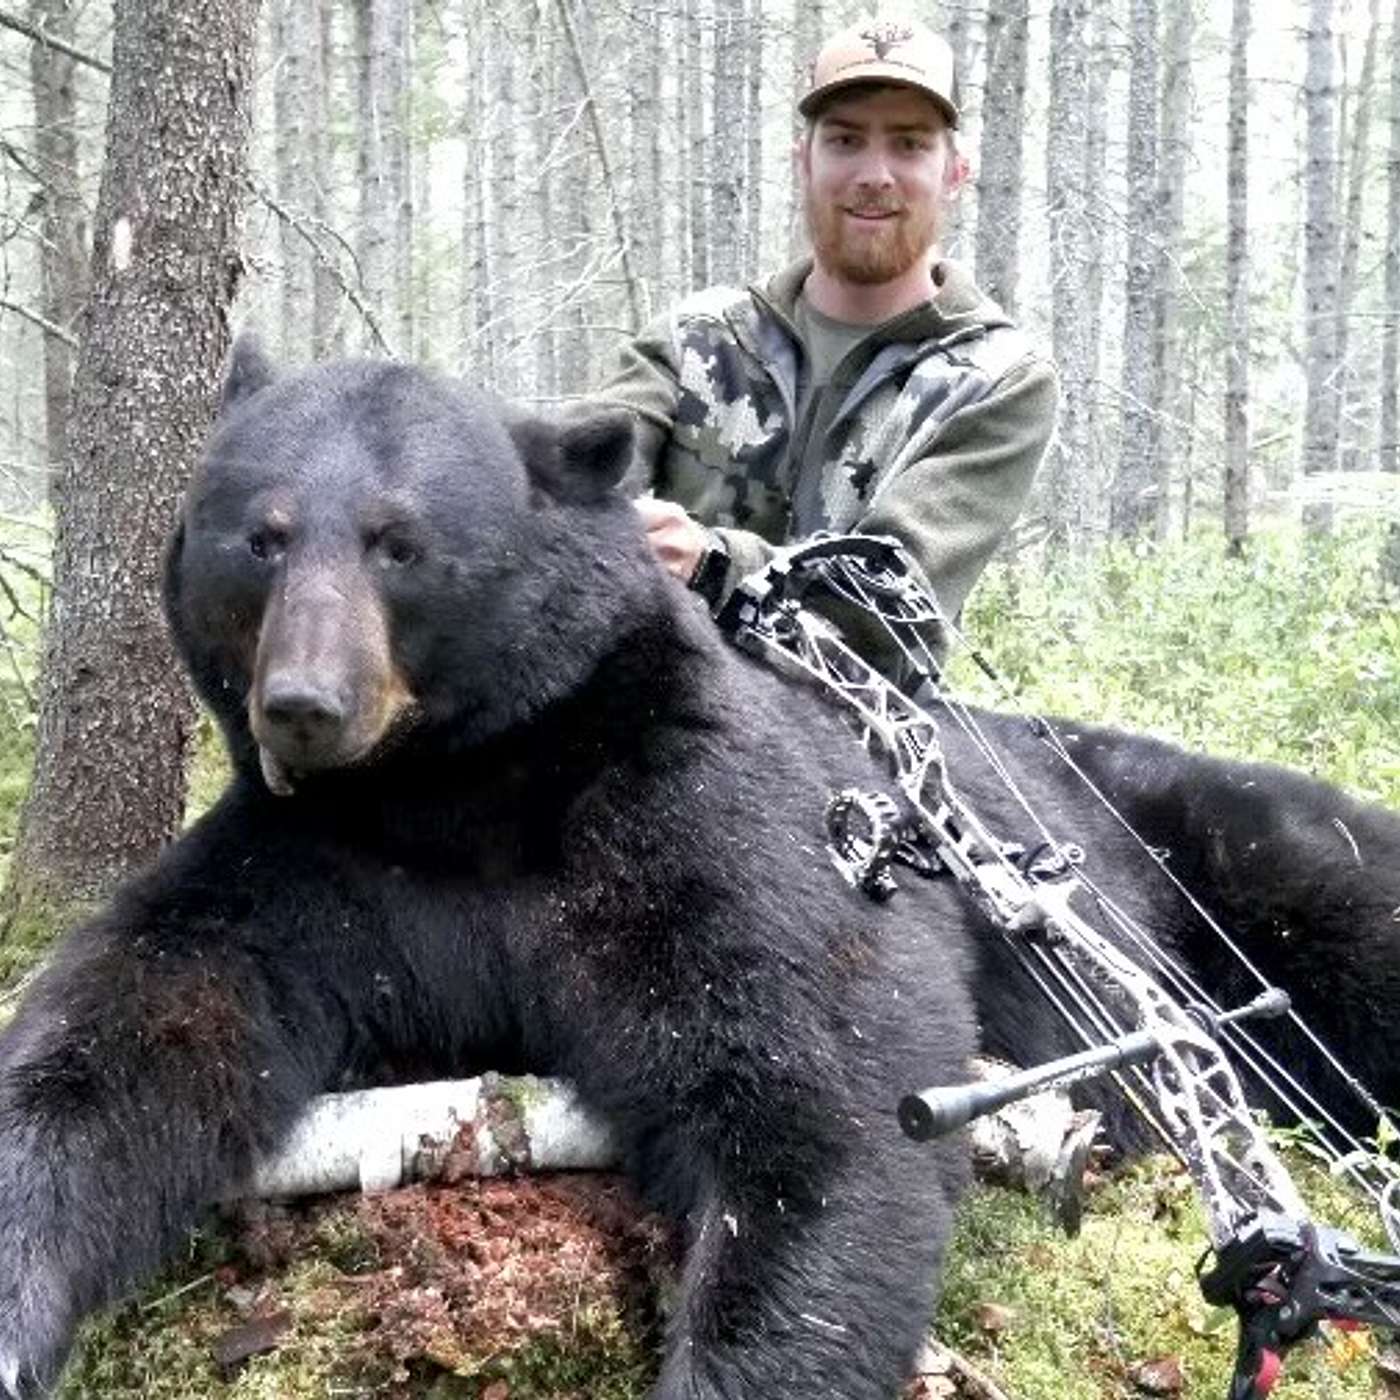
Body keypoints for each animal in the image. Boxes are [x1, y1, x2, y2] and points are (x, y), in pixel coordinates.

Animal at [0, 339, 1397, 1399]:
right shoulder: (312, 871)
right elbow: (127, 1034)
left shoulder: (700, 813)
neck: (462, 789)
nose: (303, 703)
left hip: (1216, 842)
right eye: (262, 536)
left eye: (400, 543)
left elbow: (828, 1096)